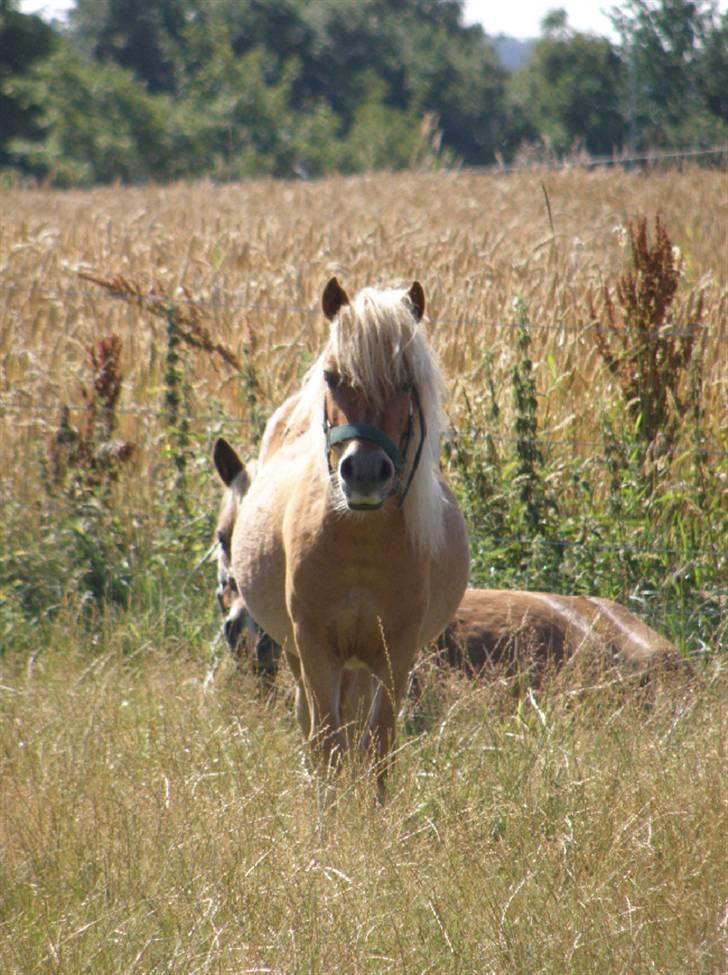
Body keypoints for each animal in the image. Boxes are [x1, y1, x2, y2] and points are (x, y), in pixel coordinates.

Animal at [219, 276, 470, 792]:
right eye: (333, 377)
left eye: (406, 382)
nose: (366, 472)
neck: (360, 546)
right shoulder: (314, 649)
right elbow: (327, 745)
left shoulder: (395, 654)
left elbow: (378, 747)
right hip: (303, 656)